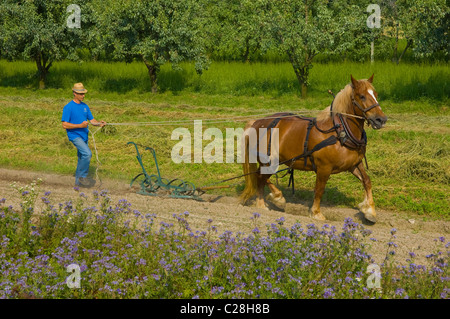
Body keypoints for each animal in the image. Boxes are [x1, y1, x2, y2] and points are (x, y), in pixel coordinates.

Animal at [241, 75, 388, 225]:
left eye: (375, 94)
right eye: (362, 96)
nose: (381, 119)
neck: (340, 133)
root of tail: (256, 123)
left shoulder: (354, 164)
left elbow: (367, 181)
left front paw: (370, 211)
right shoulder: (324, 168)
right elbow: (319, 189)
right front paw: (316, 213)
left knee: (259, 176)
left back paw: (275, 198)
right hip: (269, 162)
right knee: (260, 178)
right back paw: (265, 203)